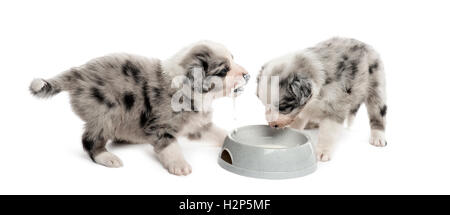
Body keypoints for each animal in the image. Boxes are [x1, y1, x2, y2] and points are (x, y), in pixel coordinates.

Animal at [29, 41, 250, 176]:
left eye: (233, 58)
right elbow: (170, 147)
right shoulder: (161, 127)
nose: (247, 74)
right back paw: (107, 157)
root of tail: (78, 73)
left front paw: (228, 140)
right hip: (107, 113)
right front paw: (179, 165)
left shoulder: (198, 125)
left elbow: (217, 132)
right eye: (224, 70)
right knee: (89, 139)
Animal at [256, 37, 386, 161]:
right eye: (264, 105)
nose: (272, 125)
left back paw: (378, 137)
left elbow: (327, 132)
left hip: (376, 87)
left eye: (282, 107)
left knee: (377, 113)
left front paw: (322, 152)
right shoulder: (303, 109)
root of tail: (365, 44)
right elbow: (298, 121)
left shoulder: (335, 106)